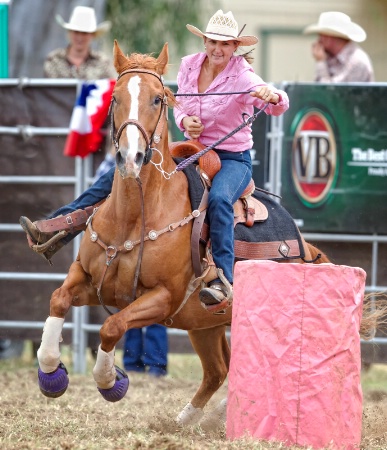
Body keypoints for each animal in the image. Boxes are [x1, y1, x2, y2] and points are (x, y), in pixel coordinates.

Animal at [35, 41, 364, 428]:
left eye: (158, 99)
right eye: (115, 97)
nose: (130, 157)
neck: (135, 216)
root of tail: (307, 251)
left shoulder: (162, 297)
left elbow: (112, 327)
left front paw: (111, 381)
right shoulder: (87, 277)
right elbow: (58, 298)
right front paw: (51, 374)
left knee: (251, 367)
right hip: (204, 324)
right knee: (218, 370)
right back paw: (189, 420)